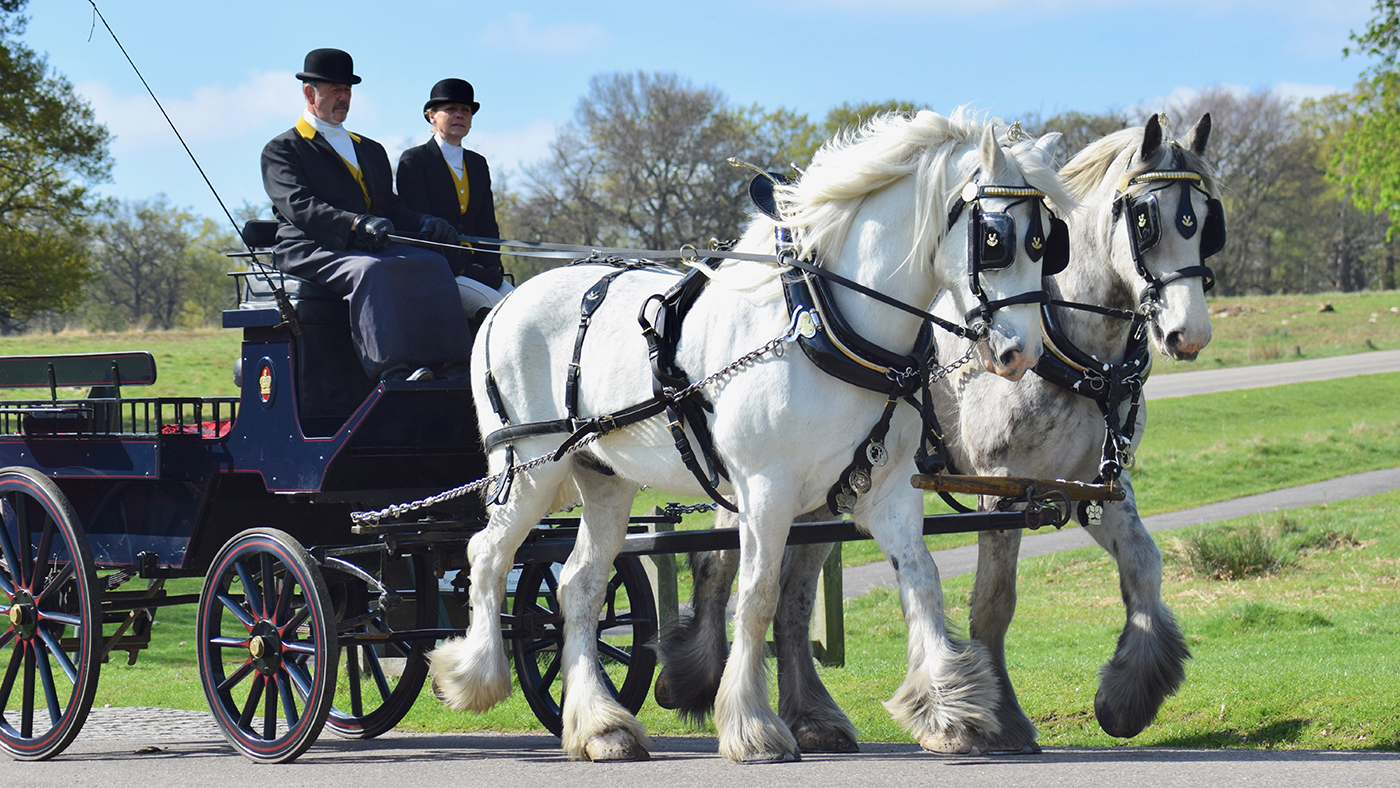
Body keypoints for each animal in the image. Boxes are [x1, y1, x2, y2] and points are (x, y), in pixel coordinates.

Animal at [426, 109, 1074, 763]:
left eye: (1050, 242)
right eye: (994, 238)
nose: (1022, 353)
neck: (823, 323)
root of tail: (507, 301)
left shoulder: (885, 488)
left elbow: (922, 582)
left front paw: (951, 710)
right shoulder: (766, 488)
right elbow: (759, 595)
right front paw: (751, 726)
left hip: (606, 480)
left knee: (578, 588)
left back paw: (601, 728)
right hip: (529, 469)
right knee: (487, 556)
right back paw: (476, 675)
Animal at [654, 113, 1222, 754]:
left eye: (1207, 223)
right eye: (1147, 219)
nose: (1190, 334)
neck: (1072, 349)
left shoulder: (1092, 484)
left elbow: (1144, 565)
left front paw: (1129, 695)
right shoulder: (1003, 485)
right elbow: (994, 602)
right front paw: (1006, 719)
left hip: (825, 492)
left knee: (793, 597)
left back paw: (810, 717)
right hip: (766, 486)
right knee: (718, 566)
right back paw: (692, 678)